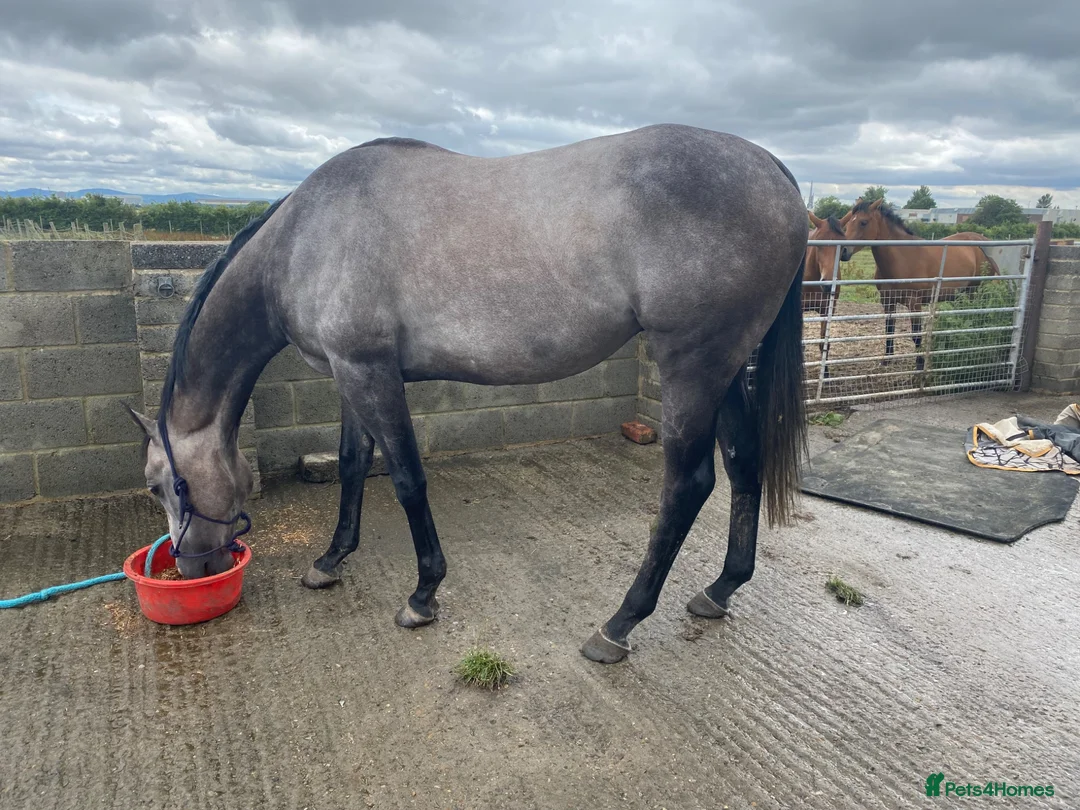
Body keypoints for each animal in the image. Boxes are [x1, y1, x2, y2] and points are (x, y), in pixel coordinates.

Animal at [125, 124, 809, 665]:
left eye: (161, 485)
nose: (192, 569)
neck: (304, 238)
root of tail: (772, 170)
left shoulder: (370, 373)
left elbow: (406, 480)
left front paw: (422, 595)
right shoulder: (349, 373)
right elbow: (351, 465)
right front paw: (329, 561)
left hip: (693, 364)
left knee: (688, 485)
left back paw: (618, 625)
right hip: (727, 368)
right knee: (743, 462)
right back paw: (719, 590)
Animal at [804, 211, 852, 376]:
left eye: (843, 245)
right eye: (818, 243)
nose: (827, 285)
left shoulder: (827, 310)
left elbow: (824, 342)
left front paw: (825, 372)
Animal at [839, 199, 999, 370]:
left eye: (863, 222)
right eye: (849, 222)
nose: (843, 251)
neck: (902, 257)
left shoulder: (914, 303)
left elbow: (916, 335)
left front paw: (920, 364)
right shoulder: (888, 301)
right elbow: (889, 329)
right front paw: (887, 359)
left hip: (976, 292)